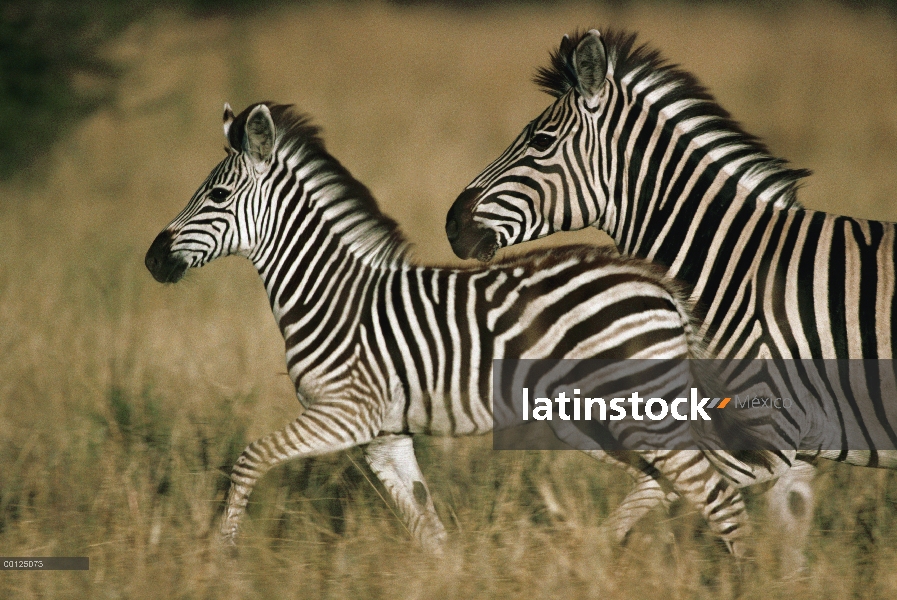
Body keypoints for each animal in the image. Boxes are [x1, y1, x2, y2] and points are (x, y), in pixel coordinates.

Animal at [147, 101, 768, 556]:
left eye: (218, 196)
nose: (152, 259)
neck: (332, 294)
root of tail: (660, 284)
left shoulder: (344, 414)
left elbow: (249, 458)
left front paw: (222, 555)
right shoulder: (384, 435)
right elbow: (426, 523)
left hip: (637, 407)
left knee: (719, 495)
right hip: (594, 419)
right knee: (667, 481)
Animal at [444, 28, 896, 572]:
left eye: (541, 142)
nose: (452, 224)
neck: (744, 267)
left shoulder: (770, 428)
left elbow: (664, 489)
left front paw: (577, 563)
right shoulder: (794, 444)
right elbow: (782, 540)